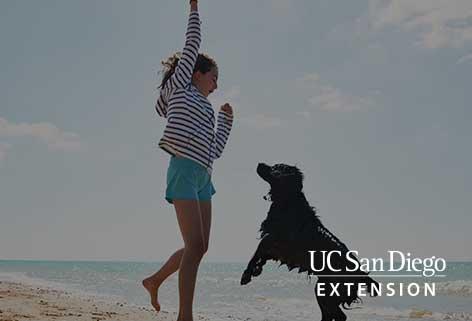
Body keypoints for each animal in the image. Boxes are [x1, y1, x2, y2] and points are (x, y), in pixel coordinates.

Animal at [242, 162, 378, 320]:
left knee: (338, 315)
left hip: (327, 292)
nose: (260, 164)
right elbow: (261, 253)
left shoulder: (276, 241)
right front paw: (257, 269)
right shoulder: (274, 245)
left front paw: (247, 274)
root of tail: (361, 274)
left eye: (276, 167)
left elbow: (257, 250)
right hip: (323, 290)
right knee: (333, 315)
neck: (288, 200)